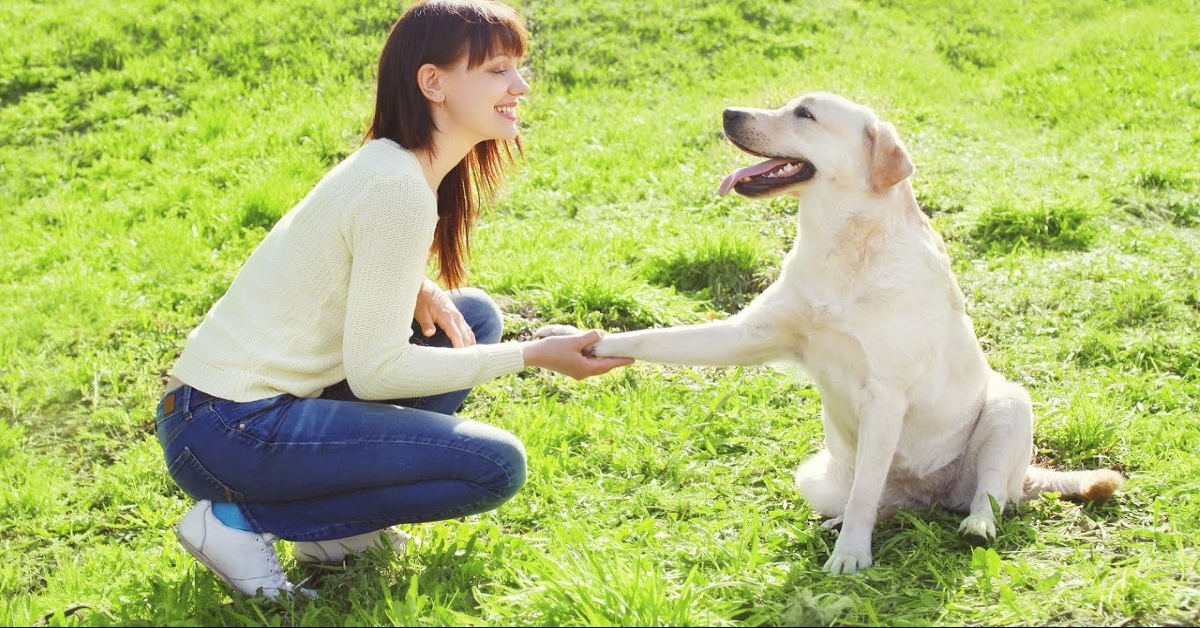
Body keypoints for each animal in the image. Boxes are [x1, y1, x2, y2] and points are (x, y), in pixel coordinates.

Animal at [544, 92, 1123, 573]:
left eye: (804, 114)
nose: (728, 113)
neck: (842, 248)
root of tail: (930, 500)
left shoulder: (885, 394)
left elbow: (868, 485)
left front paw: (850, 558)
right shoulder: (746, 334)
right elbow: (651, 338)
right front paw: (576, 341)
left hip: (1008, 406)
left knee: (989, 493)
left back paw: (974, 523)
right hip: (813, 477)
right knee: (880, 503)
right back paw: (844, 520)